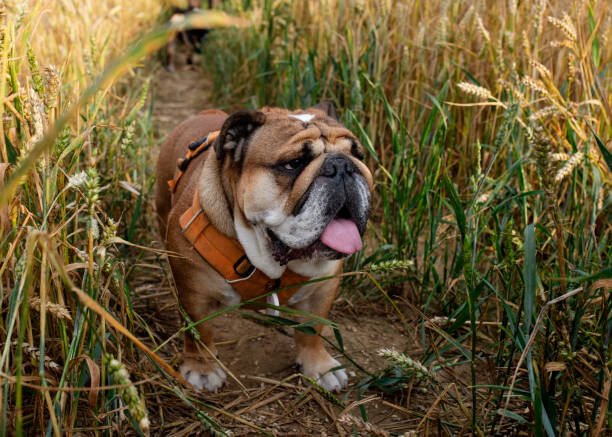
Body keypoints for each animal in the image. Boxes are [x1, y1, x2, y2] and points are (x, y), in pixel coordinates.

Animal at [154, 103, 372, 392]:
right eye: (293, 164)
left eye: (357, 154)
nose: (342, 165)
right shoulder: (193, 292)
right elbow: (198, 331)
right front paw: (202, 368)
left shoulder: (323, 287)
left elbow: (313, 329)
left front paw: (320, 366)